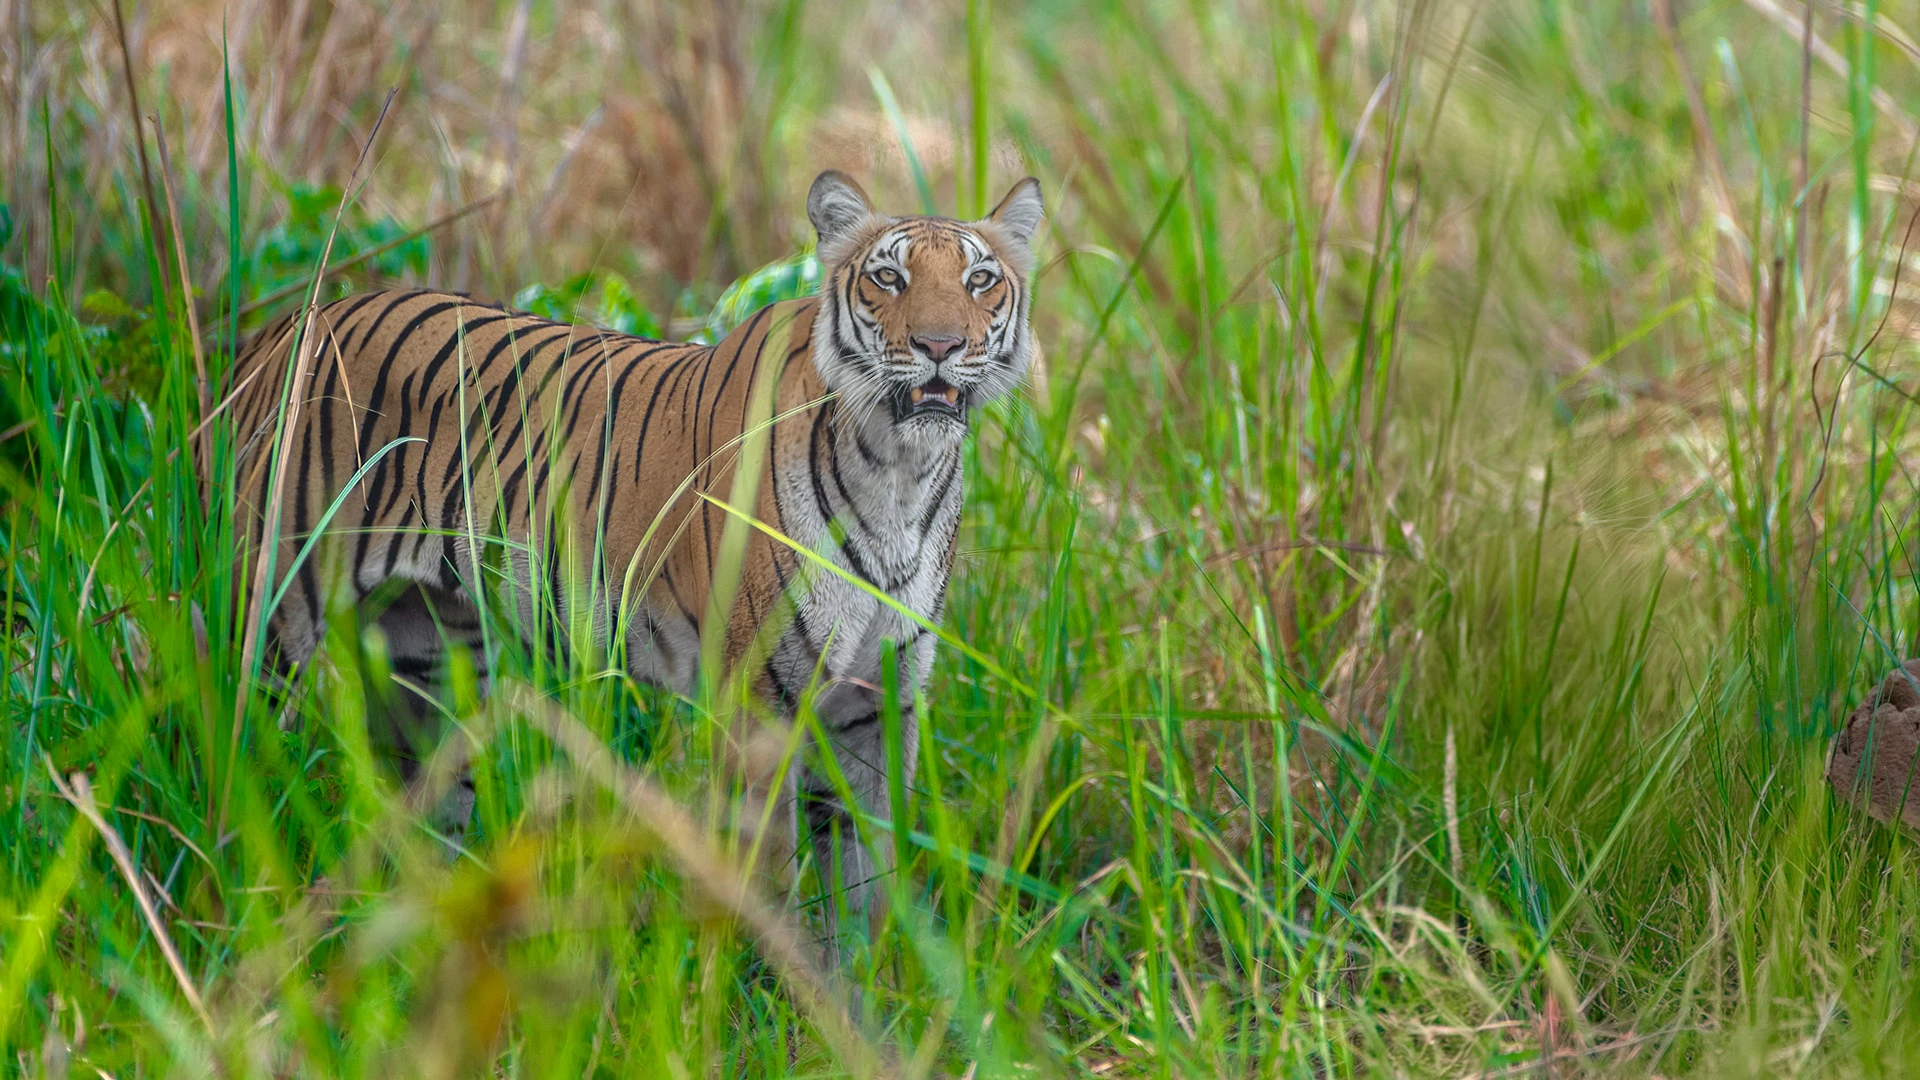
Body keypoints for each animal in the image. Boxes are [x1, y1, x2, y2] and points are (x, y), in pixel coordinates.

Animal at [208, 171, 1044, 937]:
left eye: (979, 280)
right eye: (887, 277)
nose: (940, 346)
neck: (900, 470)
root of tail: (293, 321)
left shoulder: (877, 703)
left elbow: (869, 885)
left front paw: (863, 998)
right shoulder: (759, 701)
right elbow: (771, 876)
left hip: (429, 661)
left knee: (421, 818)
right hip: (270, 623)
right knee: (226, 758)